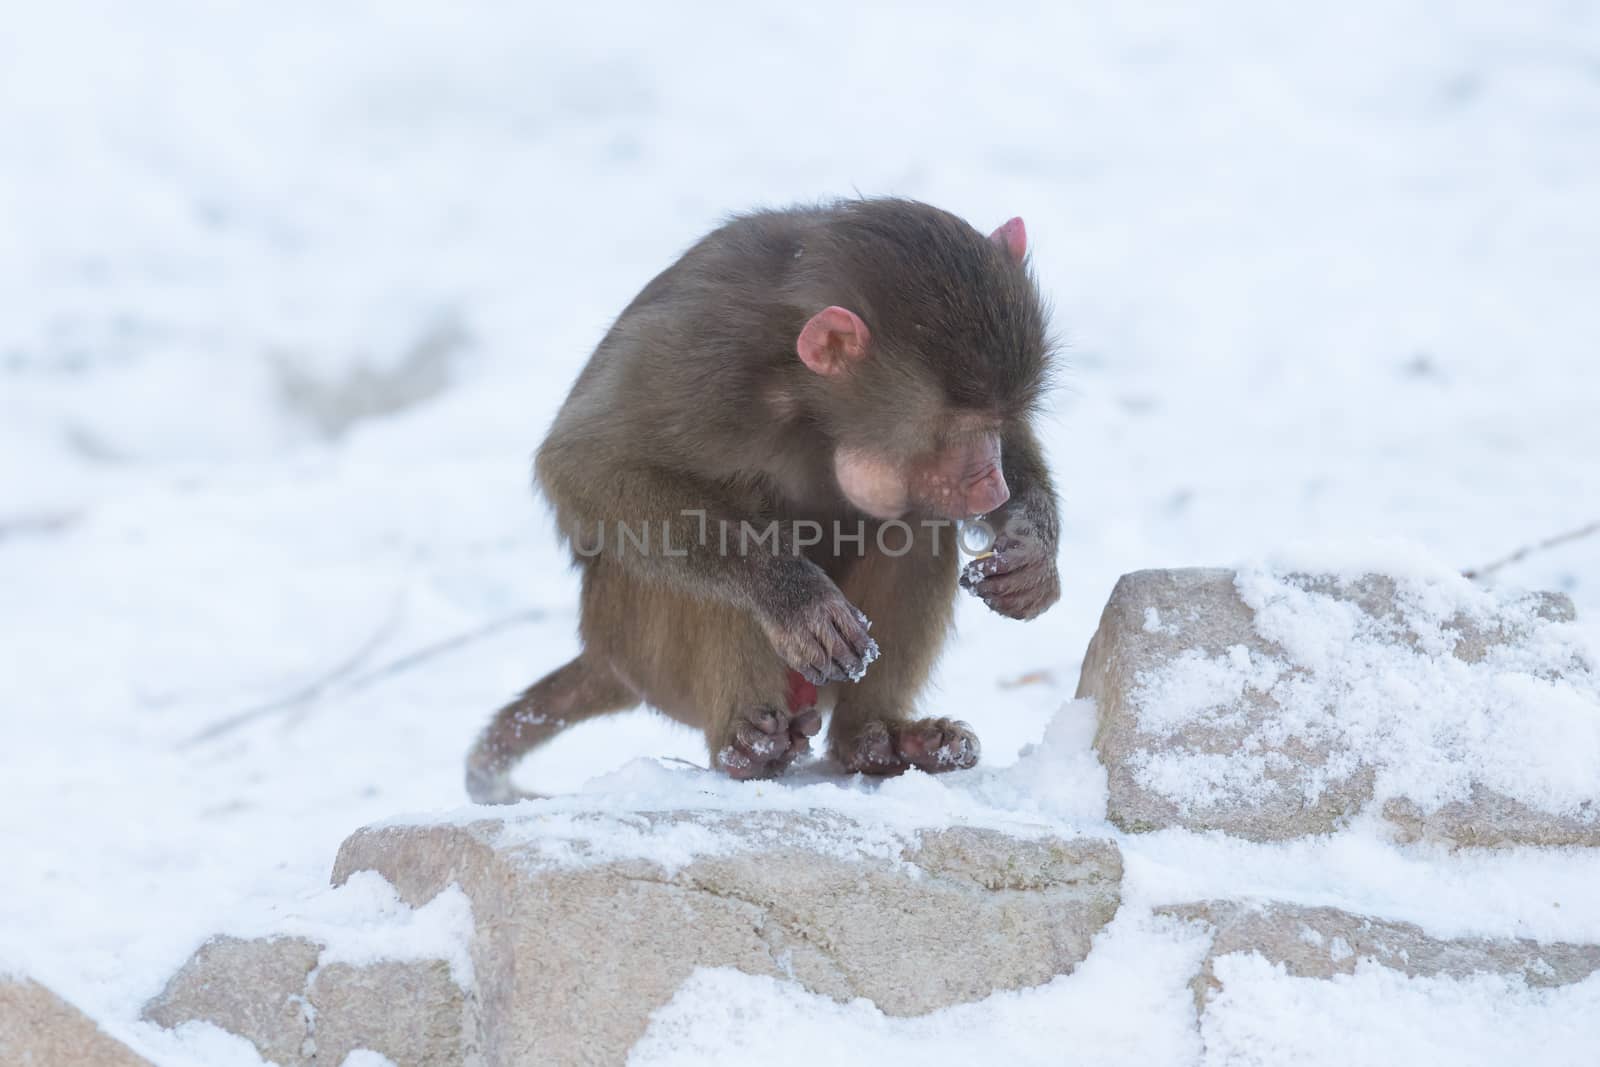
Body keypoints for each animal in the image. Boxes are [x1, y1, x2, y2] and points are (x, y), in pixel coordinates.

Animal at [467, 198, 1062, 799]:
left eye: (996, 420)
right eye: (955, 429)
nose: (993, 486)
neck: (805, 389)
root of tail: (602, 656)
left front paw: (1032, 549)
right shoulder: (700, 356)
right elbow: (583, 463)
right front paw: (792, 595)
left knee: (917, 519)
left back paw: (873, 739)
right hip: (643, 652)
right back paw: (746, 747)